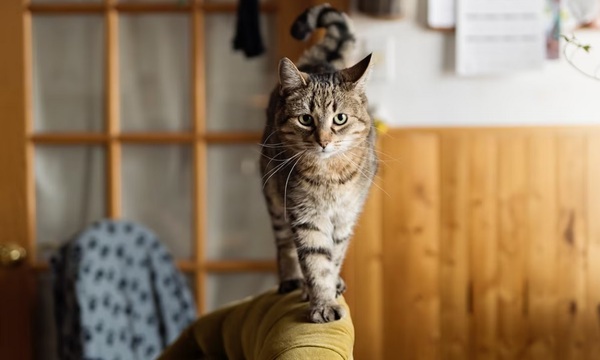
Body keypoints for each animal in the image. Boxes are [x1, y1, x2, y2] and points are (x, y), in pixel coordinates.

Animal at [260, 4, 378, 322]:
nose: (323, 141)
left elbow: (333, 257)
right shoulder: (305, 216)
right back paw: (292, 280)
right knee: (284, 245)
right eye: (305, 119)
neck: (330, 176)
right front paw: (322, 302)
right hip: (274, 197)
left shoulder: (345, 216)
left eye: (340, 118)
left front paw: (327, 290)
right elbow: (315, 261)